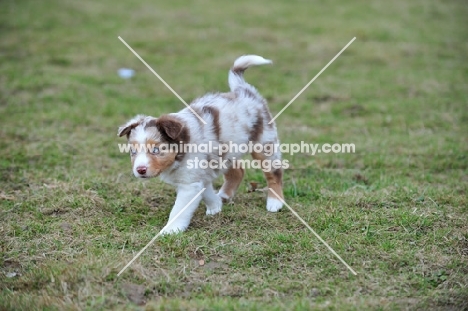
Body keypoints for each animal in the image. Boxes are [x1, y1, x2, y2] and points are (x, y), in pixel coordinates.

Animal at [117, 54, 286, 234]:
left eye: (156, 150)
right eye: (133, 152)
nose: (140, 170)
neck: (179, 151)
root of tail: (243, 90)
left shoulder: (189, 184)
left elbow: (179, 210)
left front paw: (170, 231)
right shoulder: (199, 176)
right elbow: (206, 191)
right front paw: (215, 207)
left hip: (264, 142)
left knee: (274, 174)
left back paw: (275, 202)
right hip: (227, 150)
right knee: (238, 171)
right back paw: (224, 196)